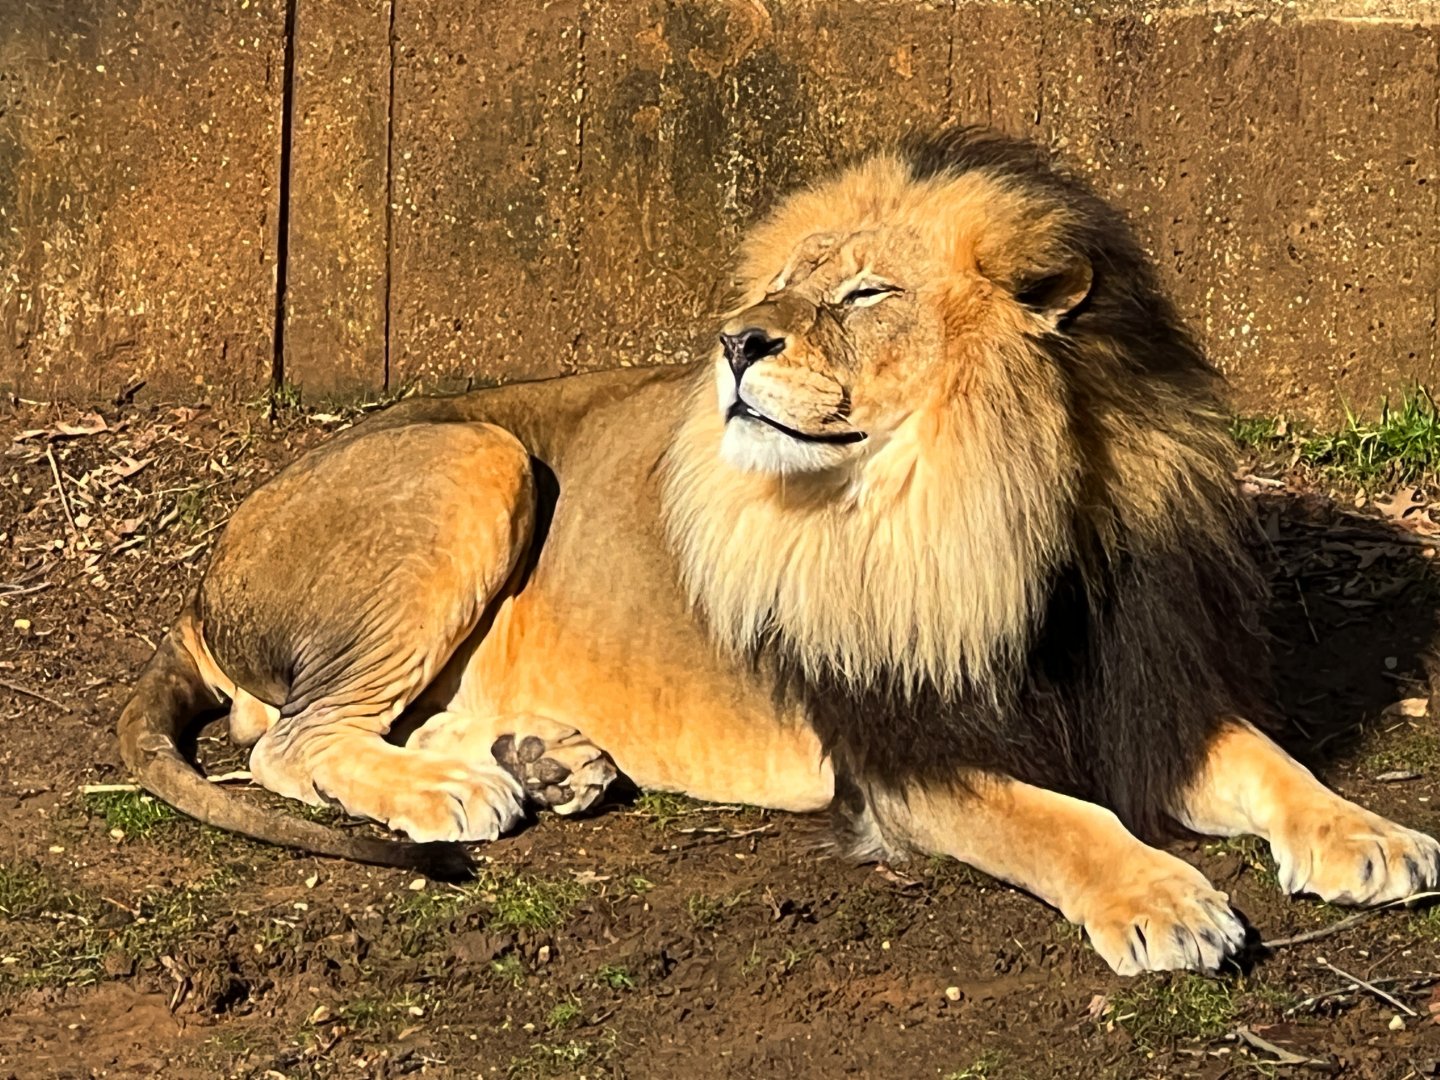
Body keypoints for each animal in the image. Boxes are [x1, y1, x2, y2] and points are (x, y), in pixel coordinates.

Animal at [118, 127, 1439, 975]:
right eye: (790, 287)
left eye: (864, 293)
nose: (733, 342)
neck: (1011, 517)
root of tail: (203, 573)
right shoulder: (901, 755)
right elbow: (1059, 821)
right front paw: (1163, 899)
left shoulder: (1148, 696)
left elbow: (1270, 761)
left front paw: (1371, 837)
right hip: (478, 458)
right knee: (291, 741)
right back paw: (455, 788)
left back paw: (545, 760)